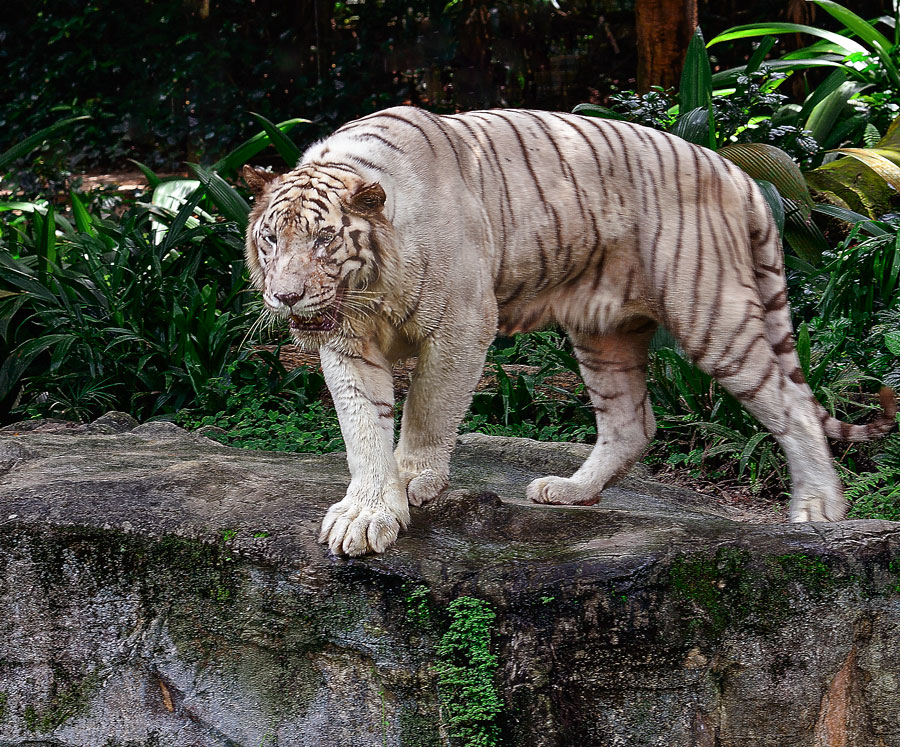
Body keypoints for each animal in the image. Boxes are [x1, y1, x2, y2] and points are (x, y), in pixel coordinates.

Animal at [243, 106, 896, 557]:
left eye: (324, 241)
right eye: (271, 239)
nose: (286, 296)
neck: (368, 291)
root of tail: (736, 172)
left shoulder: (461, 325)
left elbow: (426, 411)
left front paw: (412, 480)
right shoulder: (348, 342)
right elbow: (362, 429)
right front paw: (366, 512)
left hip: (712, 311)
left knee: (792, 404)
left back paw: (818, 508)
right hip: (603, 330)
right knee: (633, 423)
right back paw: (572, 490)